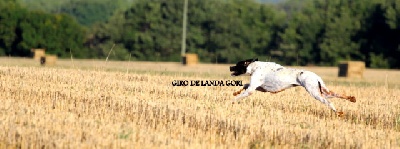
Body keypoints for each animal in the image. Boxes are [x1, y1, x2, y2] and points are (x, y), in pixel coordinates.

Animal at [228, 58, 356, 115]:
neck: (254, 67)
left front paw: (231, 101)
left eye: (238, 64)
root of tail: (315, 76)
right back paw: (351, 98)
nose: (230, 67)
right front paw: (235, 92)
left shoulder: (253, 89)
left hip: (314, 92)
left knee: (328, 102)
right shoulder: (260, 88)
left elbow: (241, 94)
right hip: (323, 90)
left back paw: (337, 112)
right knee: (336, 94)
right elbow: (245, 85)